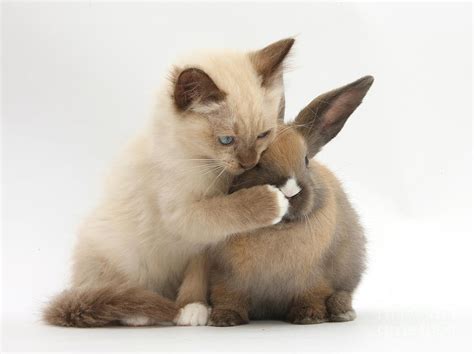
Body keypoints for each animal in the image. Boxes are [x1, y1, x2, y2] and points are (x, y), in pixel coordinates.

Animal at [45, 38, 296, 326]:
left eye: (263, 135)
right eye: (226, 140)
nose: (249, 164)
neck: (210, 167)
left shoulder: (205, 247)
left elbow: (196, 276)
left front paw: (193, 307)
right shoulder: (181, 215)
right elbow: (225, 208)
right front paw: (274, 200)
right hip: (118, 252)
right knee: (111, 291)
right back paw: (137, 315)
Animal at [207, 76, 374, 324]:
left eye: (306, 160)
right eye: (256, 162)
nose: (290, 191)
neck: (276, 230)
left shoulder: (316, 278)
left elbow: (313, 295)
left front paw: (310, 316)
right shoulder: (225, 278)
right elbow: (228, 296)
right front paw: (225, 319)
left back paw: (342, 311)